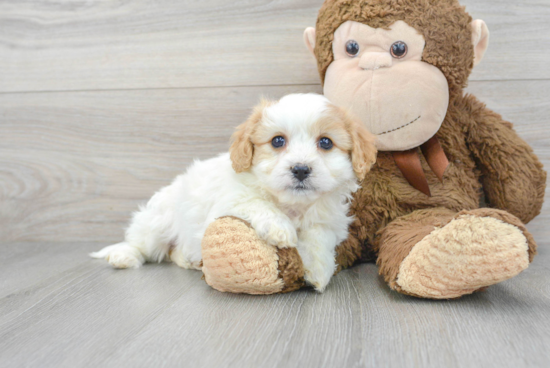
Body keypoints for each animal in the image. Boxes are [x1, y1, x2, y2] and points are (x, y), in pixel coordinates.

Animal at [94, 93, 380, 292]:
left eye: (326, 143)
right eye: (278, 141)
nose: (300, 169)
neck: (291, 205)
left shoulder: (329, 221)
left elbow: (320, 237)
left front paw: (318, 269)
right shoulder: (229, 200)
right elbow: (256, 203)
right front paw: (280, 228)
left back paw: (188, 259)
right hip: (158, 220)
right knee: (141, 242)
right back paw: (123, 255)